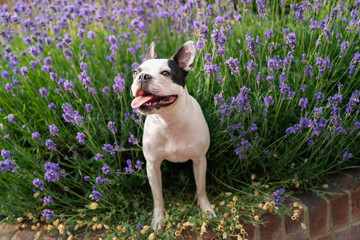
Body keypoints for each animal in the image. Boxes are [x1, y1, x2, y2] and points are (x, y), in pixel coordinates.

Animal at [131, 41, 215, 231]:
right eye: (136, 72)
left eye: (165, 73)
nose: (143, 77)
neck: (169, 120)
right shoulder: (153, 165)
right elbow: (158, 197)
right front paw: (159, 219)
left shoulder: (200, 160)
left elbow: (201, 188)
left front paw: (206, 209)